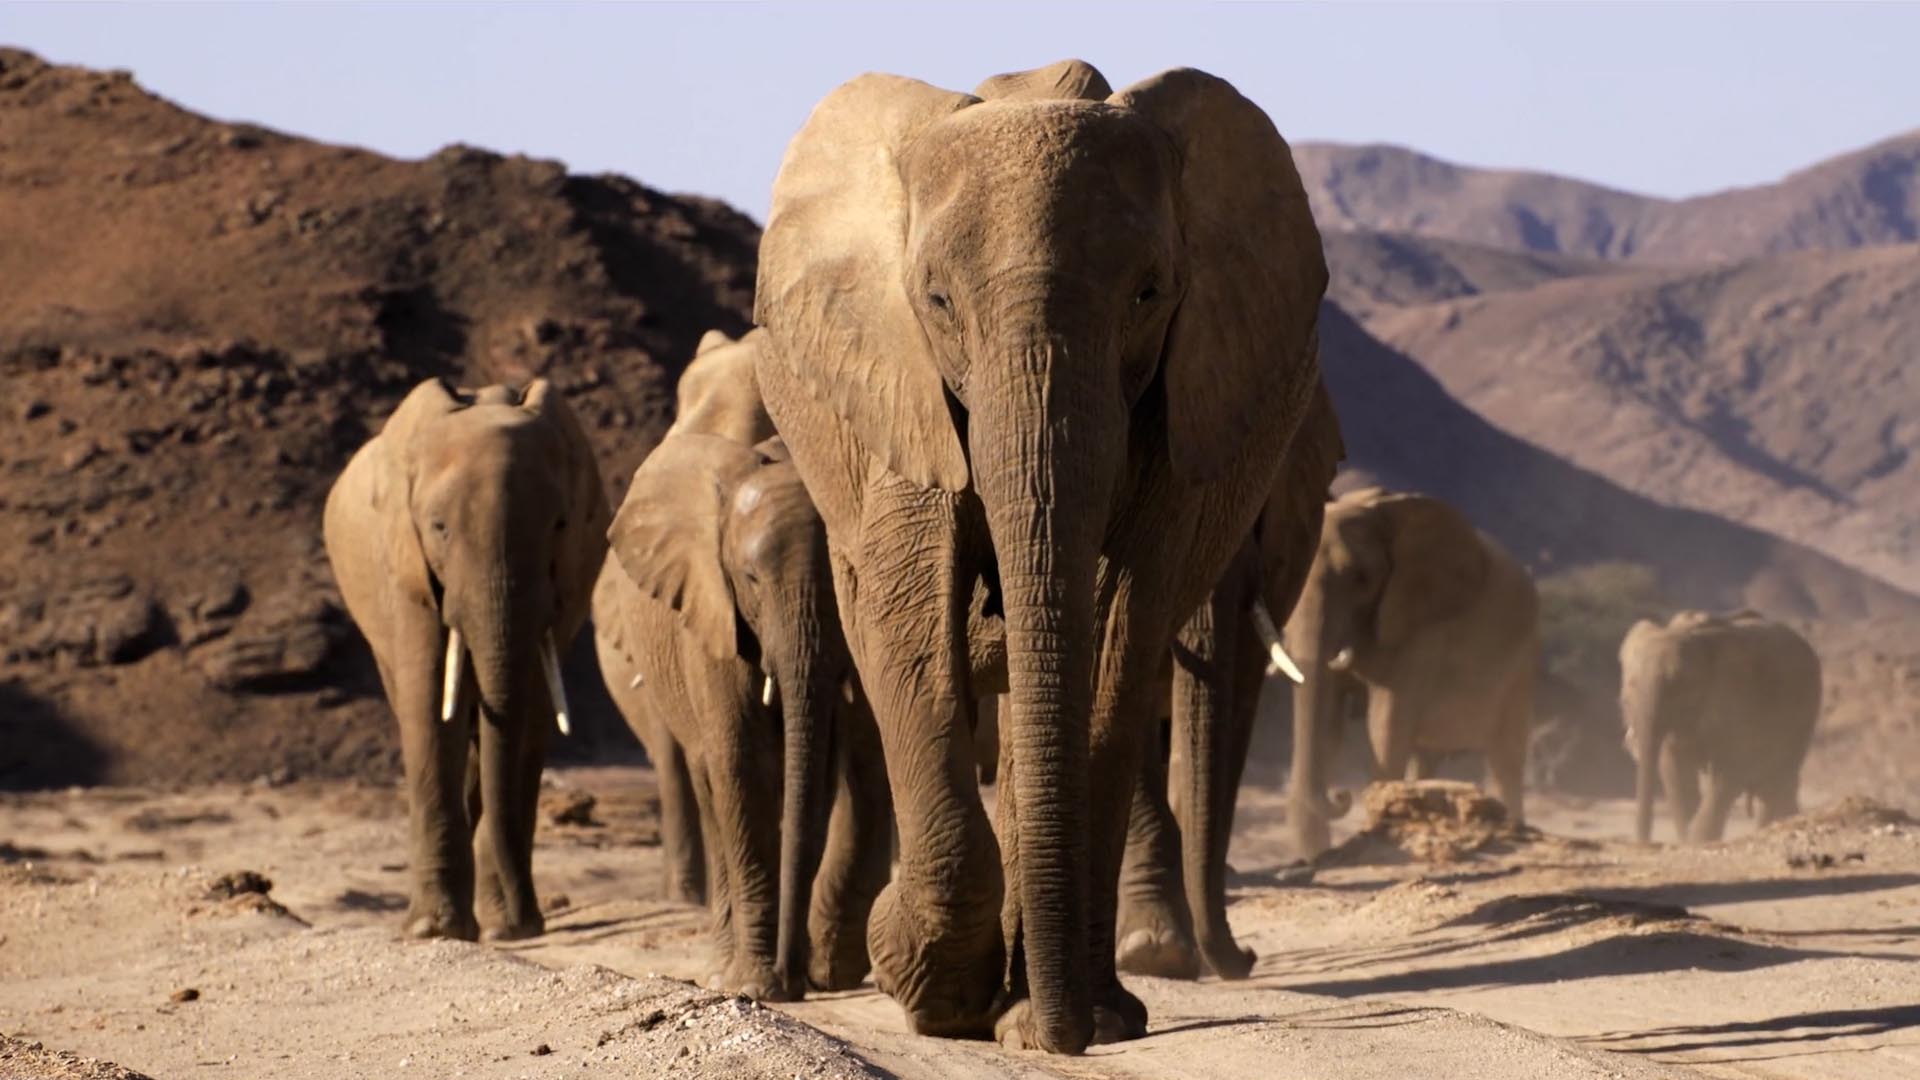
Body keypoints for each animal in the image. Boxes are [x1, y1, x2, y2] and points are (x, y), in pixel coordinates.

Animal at [323, 377, 609, 941]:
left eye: (560, 524)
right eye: (438, 527)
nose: (529, 922)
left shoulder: (568, 580)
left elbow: (531, 714)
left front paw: (506, 930)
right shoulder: (406, 570)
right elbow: (429, 704)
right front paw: (434, 931)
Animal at [593, 329, 892, 1001]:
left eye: (845, 579)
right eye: (752, 580)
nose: (793, 976)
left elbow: (844, 765)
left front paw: (808, 975)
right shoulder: (710, 612)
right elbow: (743, 763)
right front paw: (757, 987)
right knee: (711, 777)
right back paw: (723, 964)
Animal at [1285, 488, 1539, 860]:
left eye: (1361, 579)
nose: (1341, 794)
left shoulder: (1420, 626)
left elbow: (1385, 723)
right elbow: (1328, 724)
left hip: (1522, 664)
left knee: (1505, 758)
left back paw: (1514, 827)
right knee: (1427, 756)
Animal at [1620, 610, 1821, 843]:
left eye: (1678, 688)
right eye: (1627, 695)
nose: (1644, 842)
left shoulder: (1735, 696)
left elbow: (1728, 770)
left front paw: (1697, 841)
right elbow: (1675, 770)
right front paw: (1688, 838)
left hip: (1804, 713)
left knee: (1778, 779)